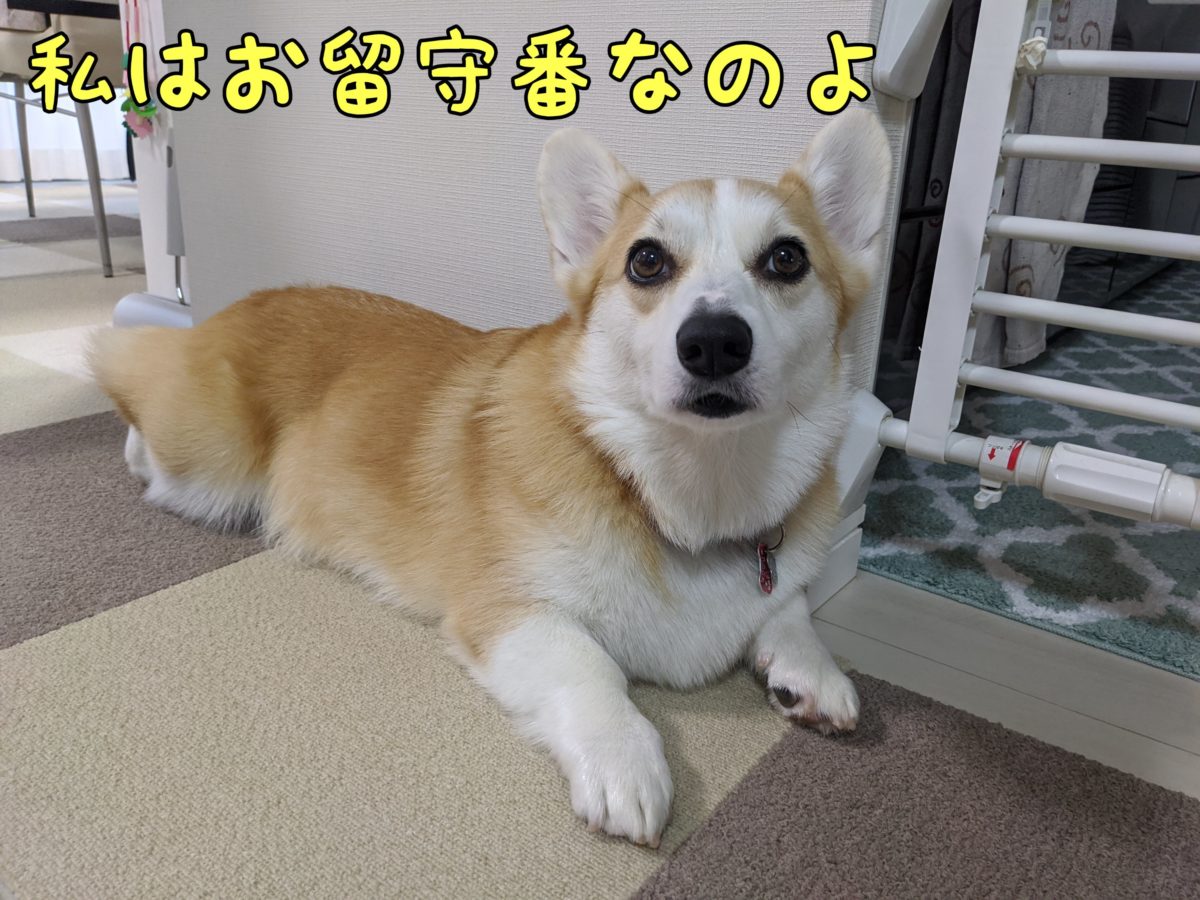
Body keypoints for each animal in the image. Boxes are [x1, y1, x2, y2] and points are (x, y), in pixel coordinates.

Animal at [90, 108, 891, 847]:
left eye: (786, 259)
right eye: (646, 262)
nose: (715, 342)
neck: (679, 490)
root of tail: (230, 305)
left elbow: (790, 606)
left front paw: (812, 672)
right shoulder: (508, 611)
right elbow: (590, 668)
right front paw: (625, 764)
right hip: (206, 470)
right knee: (131, 388)